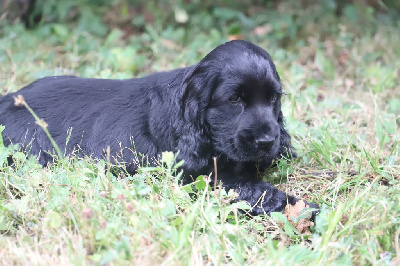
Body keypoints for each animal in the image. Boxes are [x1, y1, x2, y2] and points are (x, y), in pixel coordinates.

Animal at [0, 41, 318, 216]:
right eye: (234, 99)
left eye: (273, 98)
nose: (267, 141)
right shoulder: (201, 177)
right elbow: (257, 191)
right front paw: (308, 209)